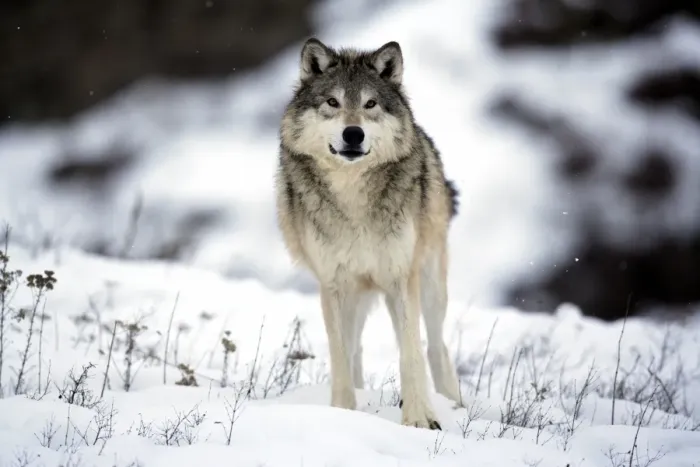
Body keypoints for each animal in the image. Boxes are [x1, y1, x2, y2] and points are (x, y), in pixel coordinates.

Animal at [275, 38, 461, 430]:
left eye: (370, 104)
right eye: (333, 102)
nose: (353, 134)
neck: (353, 198)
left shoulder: (402, 277)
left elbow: (410, 352)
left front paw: (419, 418)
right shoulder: (333, 285)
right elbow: (340, 355)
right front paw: (343, 412)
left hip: (429, 284)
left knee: (435, 346)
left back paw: (453, 404)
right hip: (357, 296)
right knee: (356, 349)